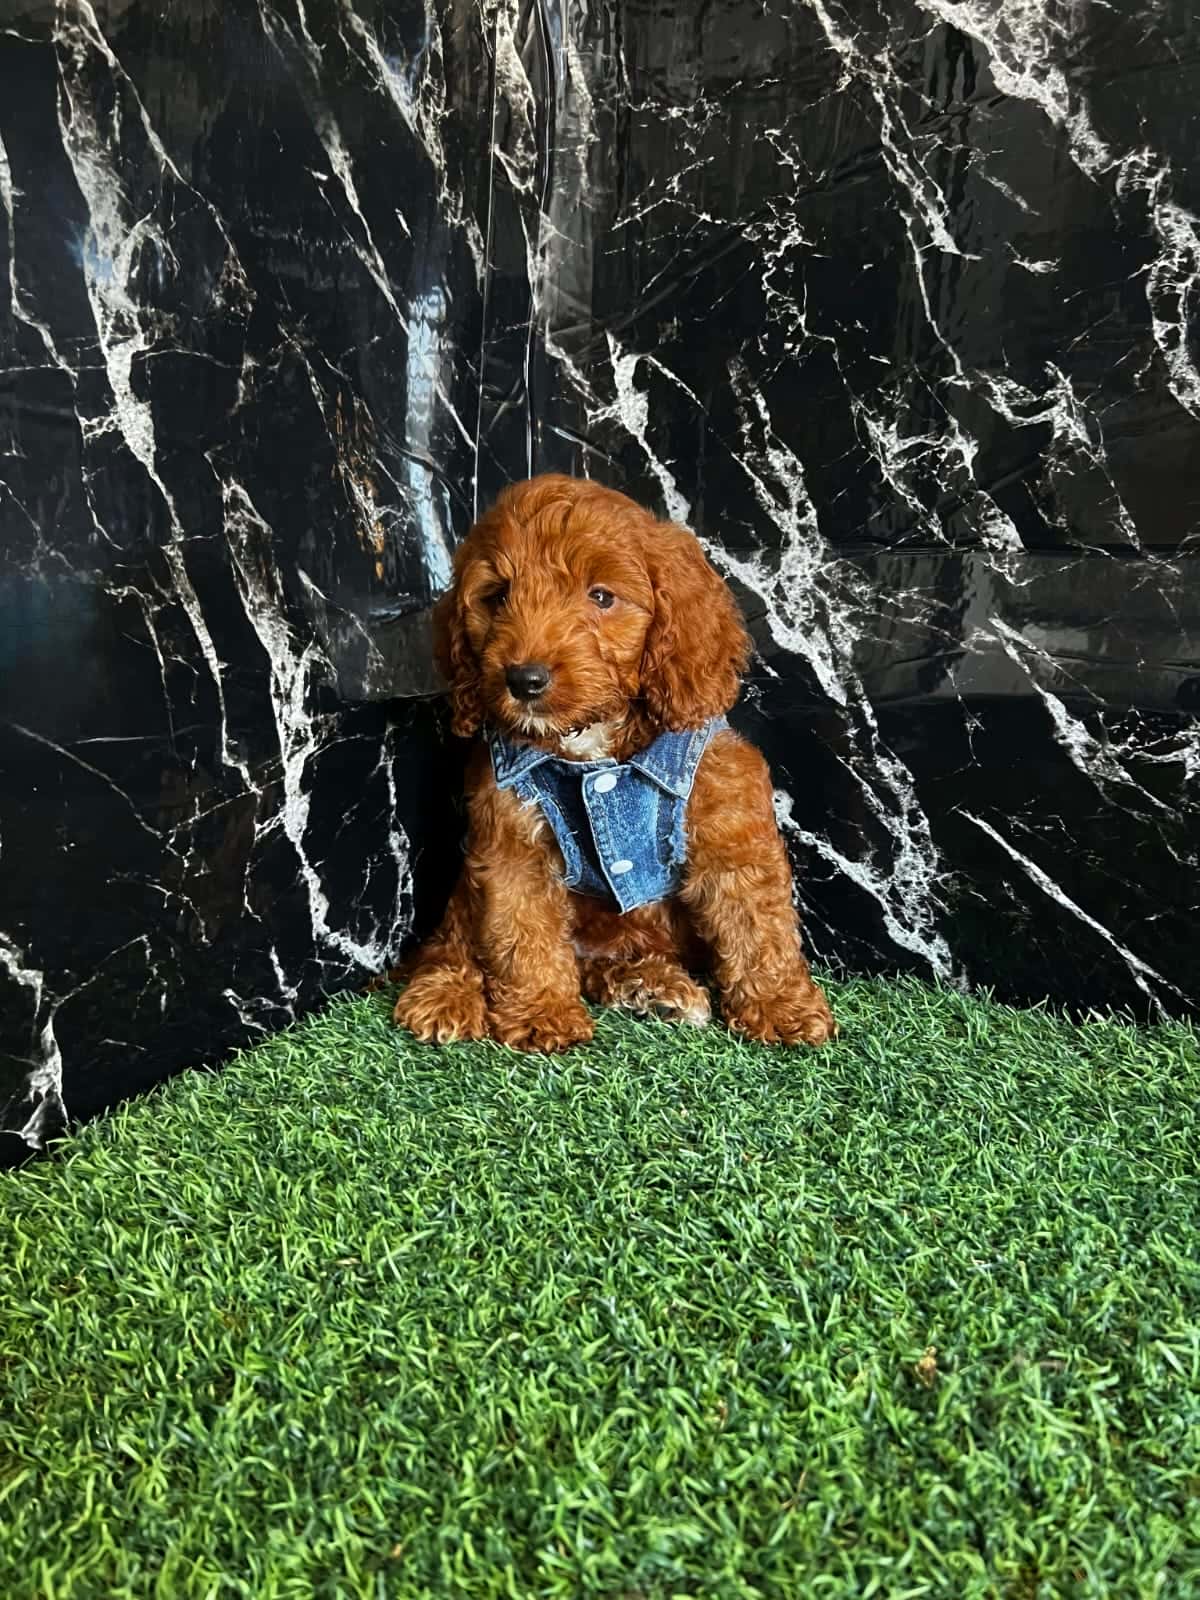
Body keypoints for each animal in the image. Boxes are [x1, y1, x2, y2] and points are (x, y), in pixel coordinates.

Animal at [394, 474, 836, 1054]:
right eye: (498, 597)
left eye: (601, 597)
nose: (524, 680)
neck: (592, 747)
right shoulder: (510, 841)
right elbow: (521, 934)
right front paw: (543, 1015)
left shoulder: (728, 820)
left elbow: (756, 924)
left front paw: (781, 1007)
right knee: (453, 941)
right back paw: (446, 994)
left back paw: (651, 987)